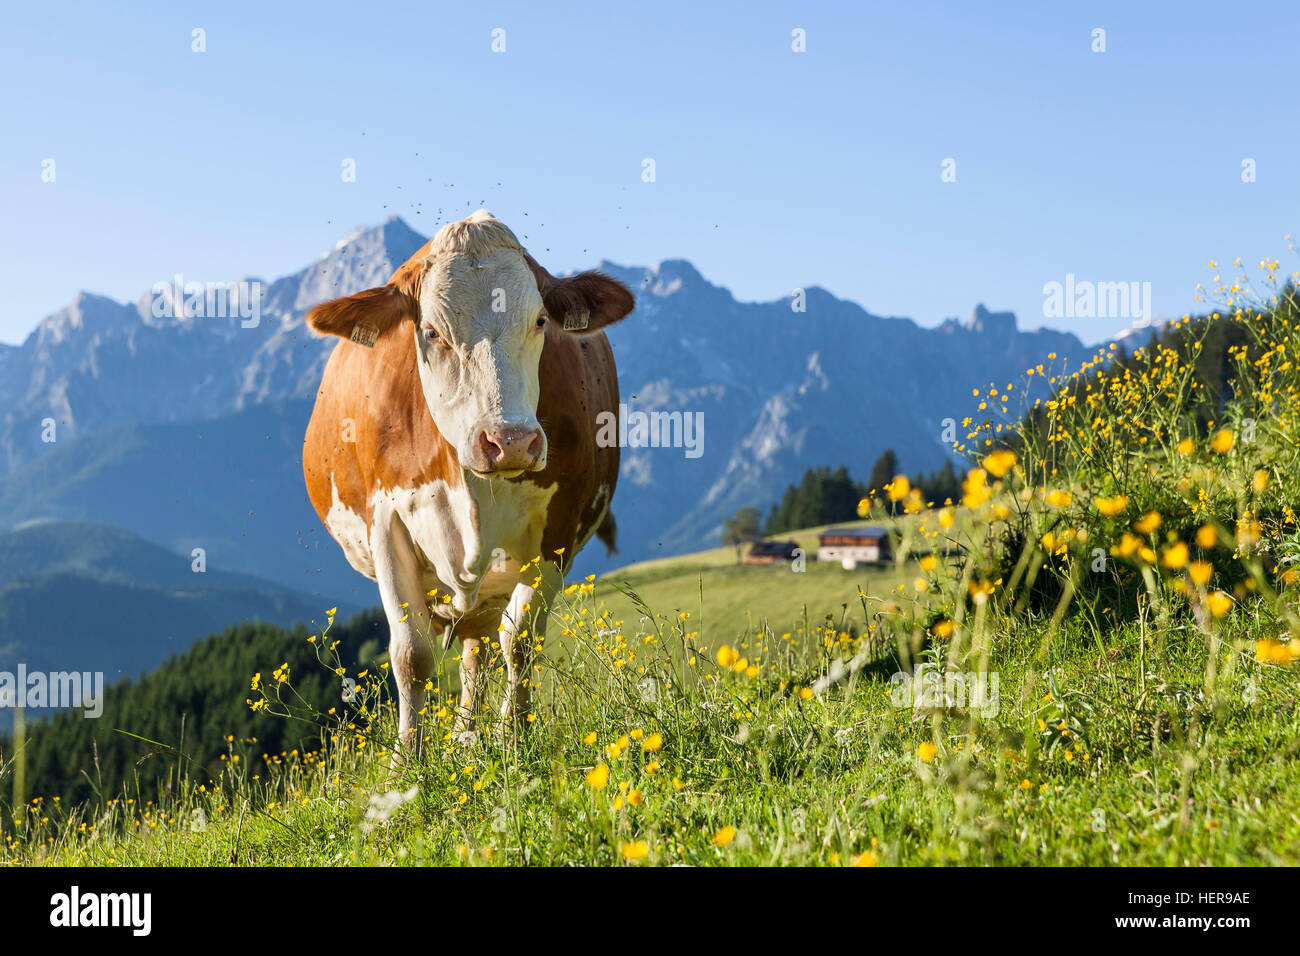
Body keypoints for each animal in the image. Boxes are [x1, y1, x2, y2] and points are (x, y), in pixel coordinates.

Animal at [300, 210, 634, 754]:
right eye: (432, 331)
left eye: (539, 321)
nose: (511, 441)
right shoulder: (385, 522)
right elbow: (411, 655)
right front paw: (407, 761)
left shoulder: (558, 529)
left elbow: (520, 642)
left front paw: (515, 740)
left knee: (480, 647)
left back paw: (469, 735)